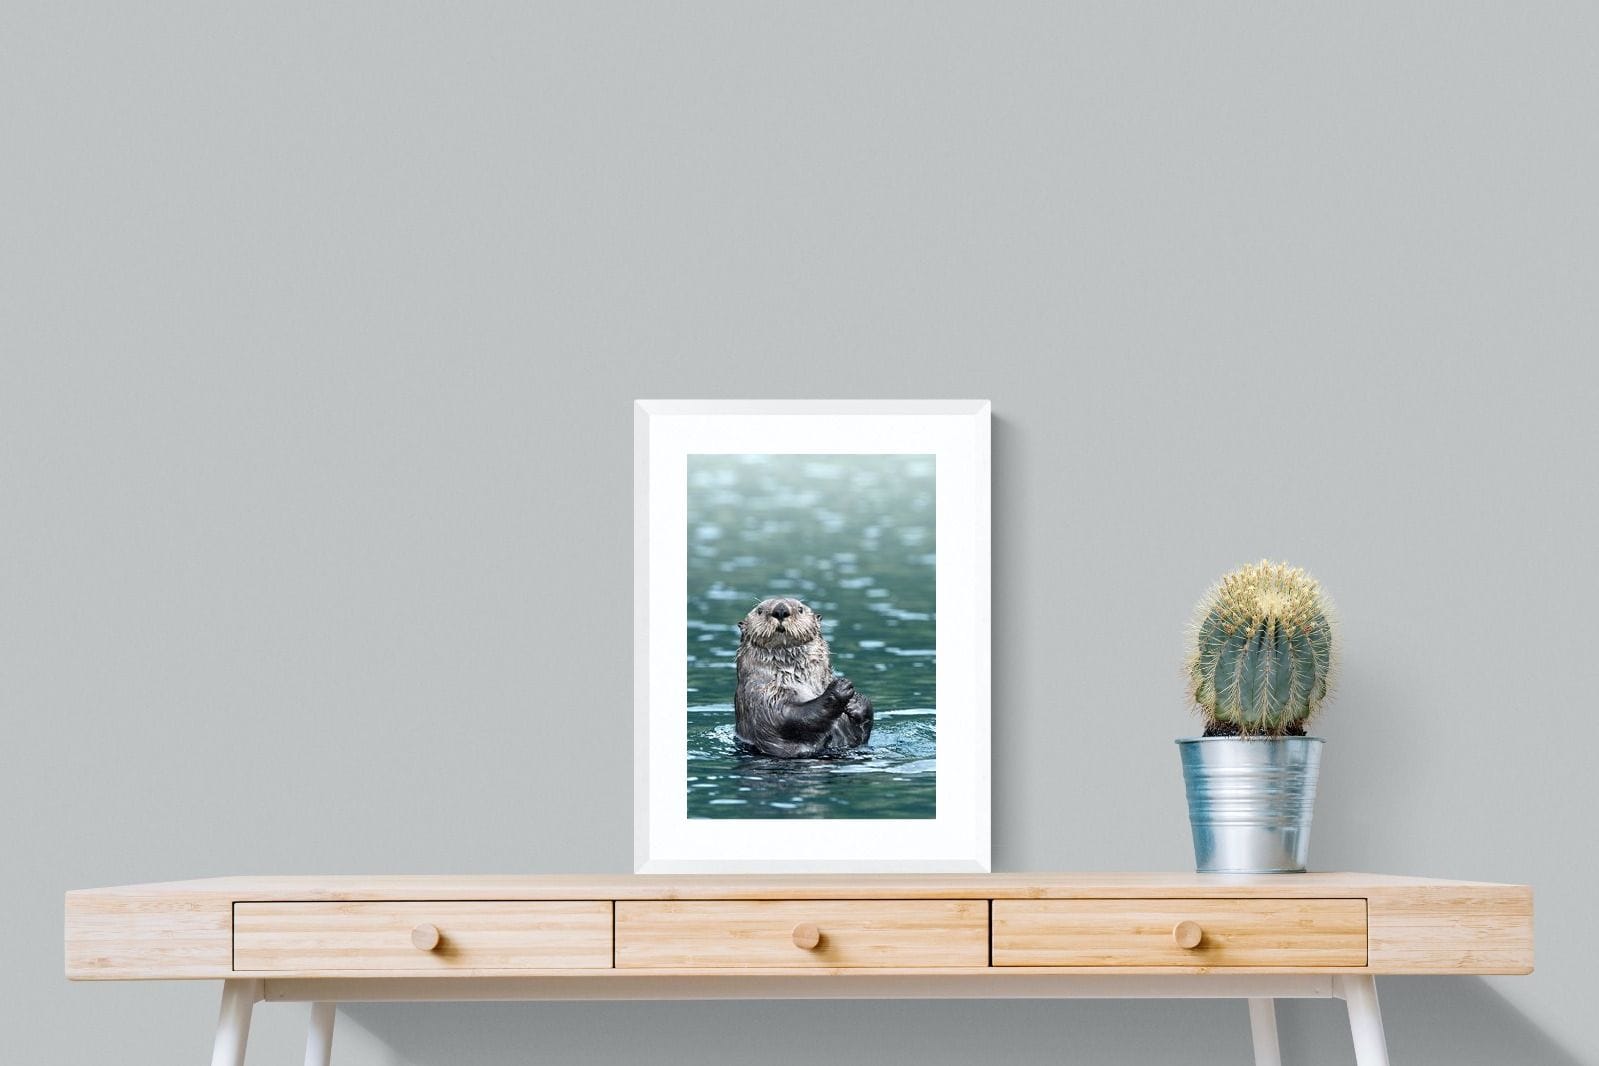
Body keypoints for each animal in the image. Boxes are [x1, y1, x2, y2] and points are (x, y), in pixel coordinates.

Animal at [734, 596, 874, 758]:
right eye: (759, 610)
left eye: (800, 609)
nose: (780, 610)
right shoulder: (759, 696)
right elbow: (788, 717)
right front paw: (839, 688)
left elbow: (860, 735)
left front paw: (857, 701)